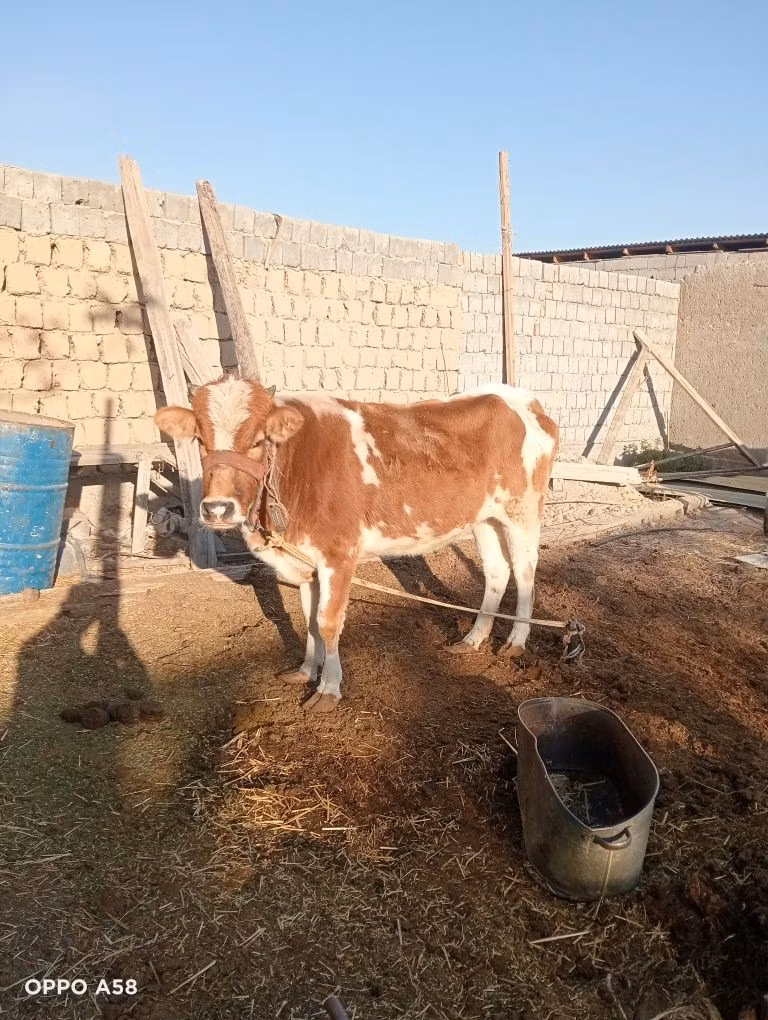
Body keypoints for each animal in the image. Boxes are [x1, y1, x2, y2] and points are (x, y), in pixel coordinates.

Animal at [154, 378, 559, 712]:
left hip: (522, 510)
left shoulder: (339, 555)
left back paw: (517, 640)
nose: (217, 509)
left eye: (258, 441)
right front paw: (307, 670)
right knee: (496, 572)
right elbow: (309, 620)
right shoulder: (308, 562)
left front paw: (328, 689)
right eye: (200, 440)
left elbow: (328, 622)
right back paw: (473, 639)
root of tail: (522, 397)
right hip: (484, 518)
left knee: (525, 570)